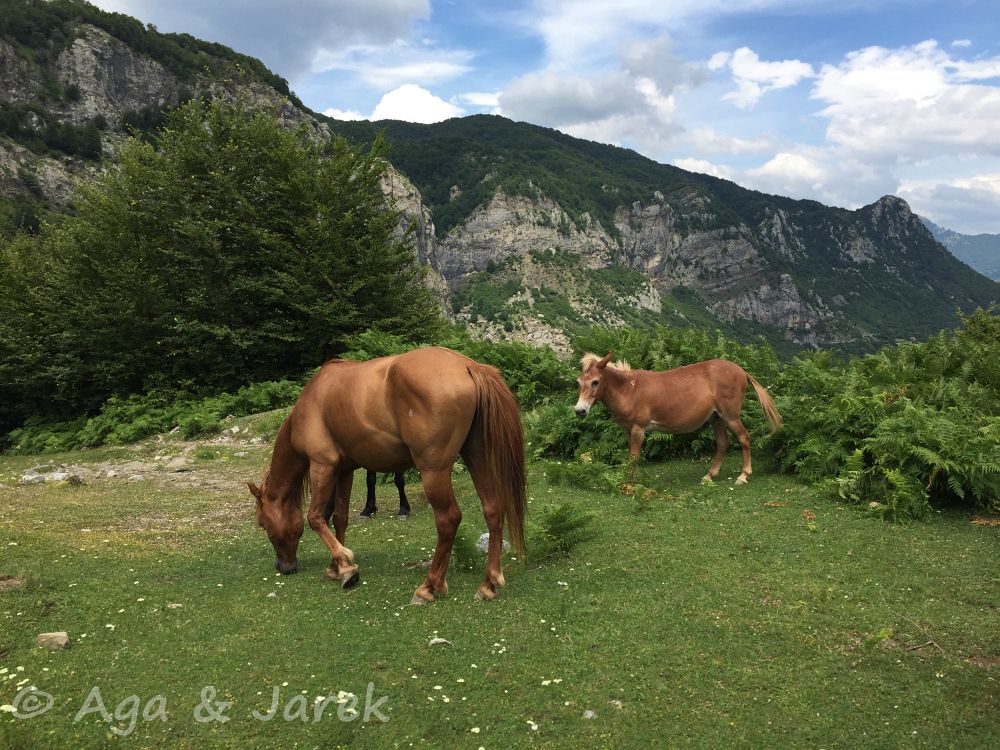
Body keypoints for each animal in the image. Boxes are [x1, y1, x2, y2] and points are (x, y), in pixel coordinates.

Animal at [250, 348, 528, 604]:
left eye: (263, 524)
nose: (284, 568)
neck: (312, 402)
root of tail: (468, 366)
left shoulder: (322, 465)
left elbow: (316, 517)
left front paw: (346, 566)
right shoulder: (345, 471)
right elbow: (339, 518)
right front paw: (337, 567)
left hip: (434, 471)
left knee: (448, 519)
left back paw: (429, 587)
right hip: (476, 457)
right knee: (492, 509)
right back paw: (488, 584)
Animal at [580, 354, 780, 484]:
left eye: (595, 382)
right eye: (579, 382)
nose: (579, 410)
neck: (630, 389)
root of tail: (741, 371)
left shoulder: (638, 429)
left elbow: (634, 456)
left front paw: (629, 484)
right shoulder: (628, 431)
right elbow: (631, 456)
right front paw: (631, 479)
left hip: (730, 416)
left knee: (744, 438)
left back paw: (743, 475)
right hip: (716, 419)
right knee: (723, 444)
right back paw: (709, 475)